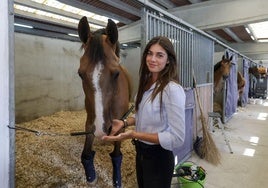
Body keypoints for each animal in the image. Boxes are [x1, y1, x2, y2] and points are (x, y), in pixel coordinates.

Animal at [77, 16, 131, 187]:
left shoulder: (117, 123)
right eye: (80, 74)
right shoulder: (91, 122)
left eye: (116, 73)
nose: (102, 129)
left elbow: (116, 155)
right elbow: (86, 154)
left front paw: (117, 179)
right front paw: (91, 175)